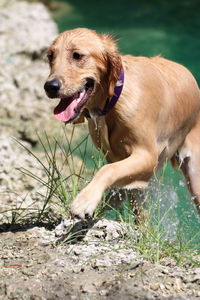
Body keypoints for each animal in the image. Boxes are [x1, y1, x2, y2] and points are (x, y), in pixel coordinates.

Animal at [44, 27, 200, 218]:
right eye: (50, 56)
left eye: (77, 55)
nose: (50, 86)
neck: (113, 99)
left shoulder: (147, 156)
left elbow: (107, 170)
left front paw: (85, 201)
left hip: (196, 177)